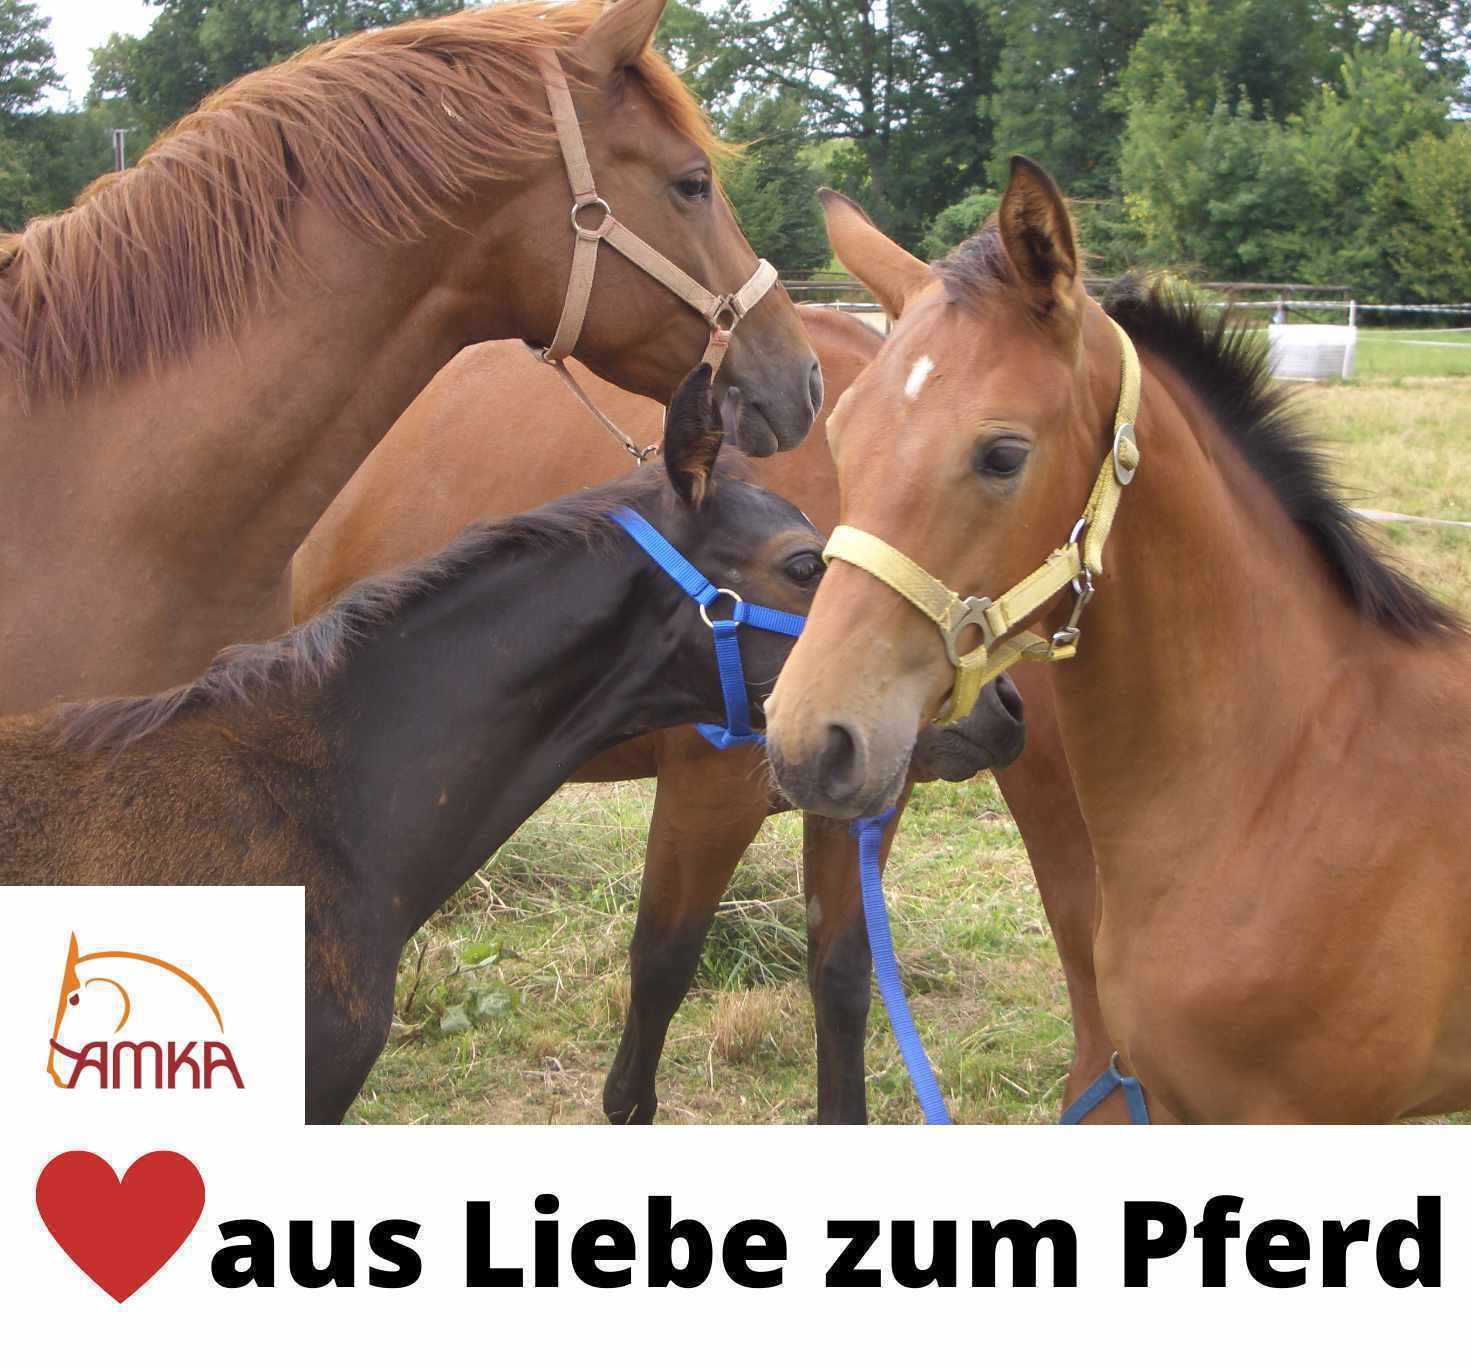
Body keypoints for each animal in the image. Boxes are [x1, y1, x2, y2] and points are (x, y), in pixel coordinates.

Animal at [293, 305, 1136, 1125]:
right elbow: (661, 963)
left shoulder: (866, 797)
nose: (999, 711)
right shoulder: (711, 790)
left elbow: (841, 973)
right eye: (806, 567)